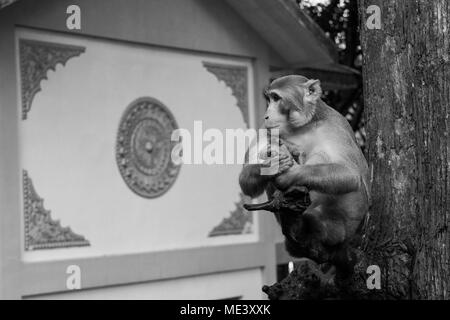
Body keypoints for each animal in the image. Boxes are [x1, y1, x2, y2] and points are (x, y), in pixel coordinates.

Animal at [241, 75, 370, 272]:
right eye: (269, 99)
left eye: (276, 98)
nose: (266, 114)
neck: (302, 127)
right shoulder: (267, 128)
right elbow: (245, 180)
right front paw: (272, 165)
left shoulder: (334, 126)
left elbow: (351, 174)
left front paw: (288, 173)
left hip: (346, 221)